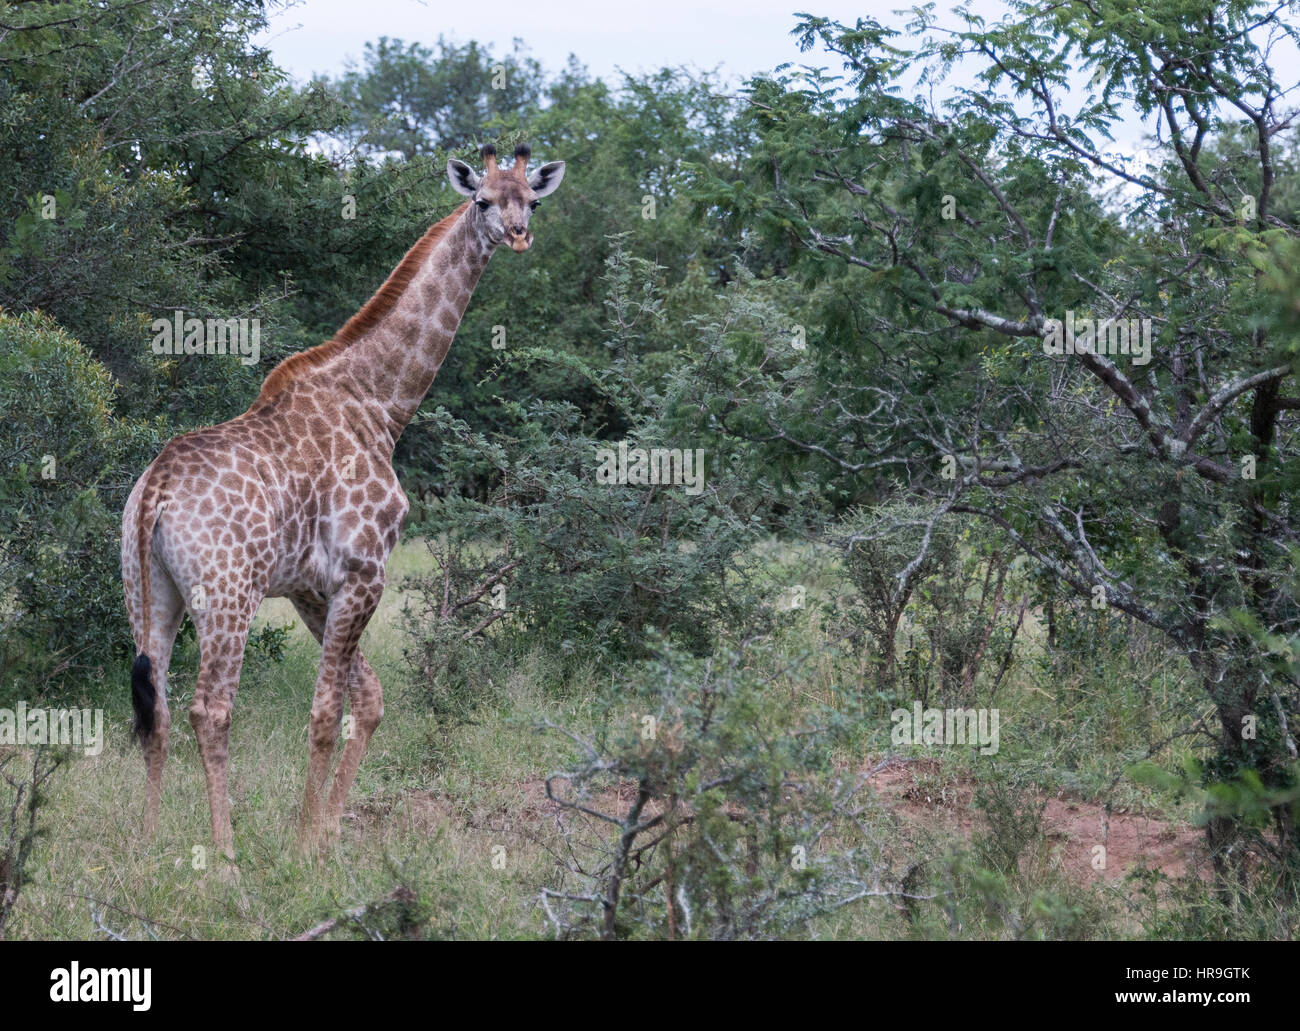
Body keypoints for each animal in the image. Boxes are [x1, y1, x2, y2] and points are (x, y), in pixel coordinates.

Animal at [122, 143, 564, 852]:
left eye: (531, 199)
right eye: (482, 200)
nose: (519, 234)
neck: (379, 402)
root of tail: (154, 491)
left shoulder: (311, 586)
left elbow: (370, 699)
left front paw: (327, 829)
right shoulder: (363, 571)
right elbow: (329, 711)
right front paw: (307, 844)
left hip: (149, 590)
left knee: (154, 704)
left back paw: (149, 841)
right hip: (228, 593)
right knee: (210, 708)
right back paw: (225, 853)